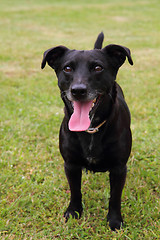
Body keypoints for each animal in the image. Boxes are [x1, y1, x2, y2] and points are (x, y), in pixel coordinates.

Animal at [41, 32, 132, 231]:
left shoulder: (119, 168)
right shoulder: (71, 165)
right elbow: (75, 191)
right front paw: (74, 212)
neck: (91, 129)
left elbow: (115, 197)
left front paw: (115, 221)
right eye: (67, 68)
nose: (78, 90)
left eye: (98, 68)